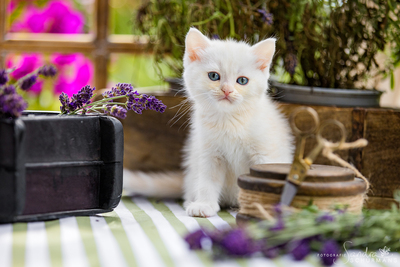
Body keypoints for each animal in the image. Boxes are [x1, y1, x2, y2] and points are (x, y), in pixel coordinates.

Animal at [182, 28, 294, 218]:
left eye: (242, 80)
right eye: (214, 76)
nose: (227, 90)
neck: (229, 120)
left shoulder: (265, 153)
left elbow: (264, 179)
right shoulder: (209, 154)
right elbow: (207, 180)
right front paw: (204, 205)